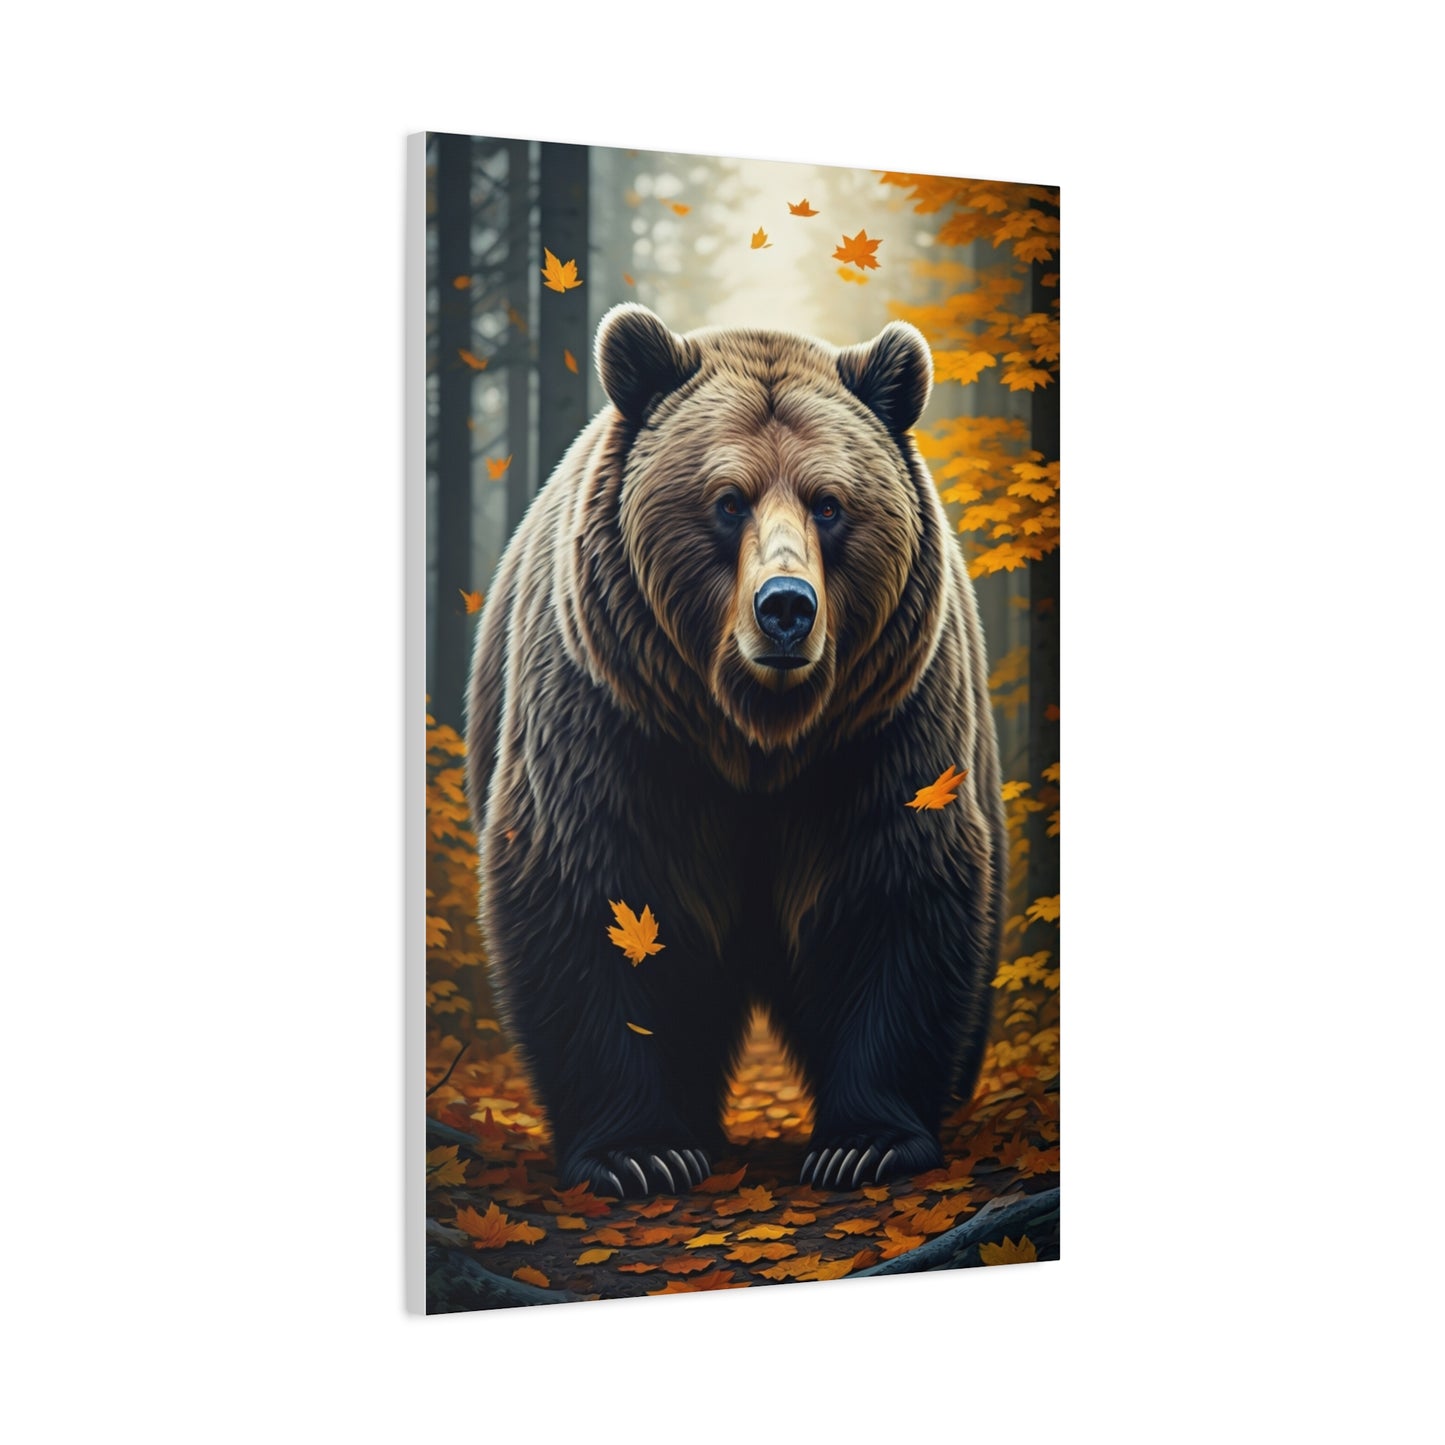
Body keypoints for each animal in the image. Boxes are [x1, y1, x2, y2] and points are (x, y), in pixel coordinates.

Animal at [465, 303, 1006, 1197]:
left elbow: (891, 891)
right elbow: (594, 895)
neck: (755, 737)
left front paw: (865, 1141)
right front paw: (639, 1151)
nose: (785, 607)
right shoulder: (612, 719)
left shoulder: (882, 727)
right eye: (727, 499)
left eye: (828, 502)